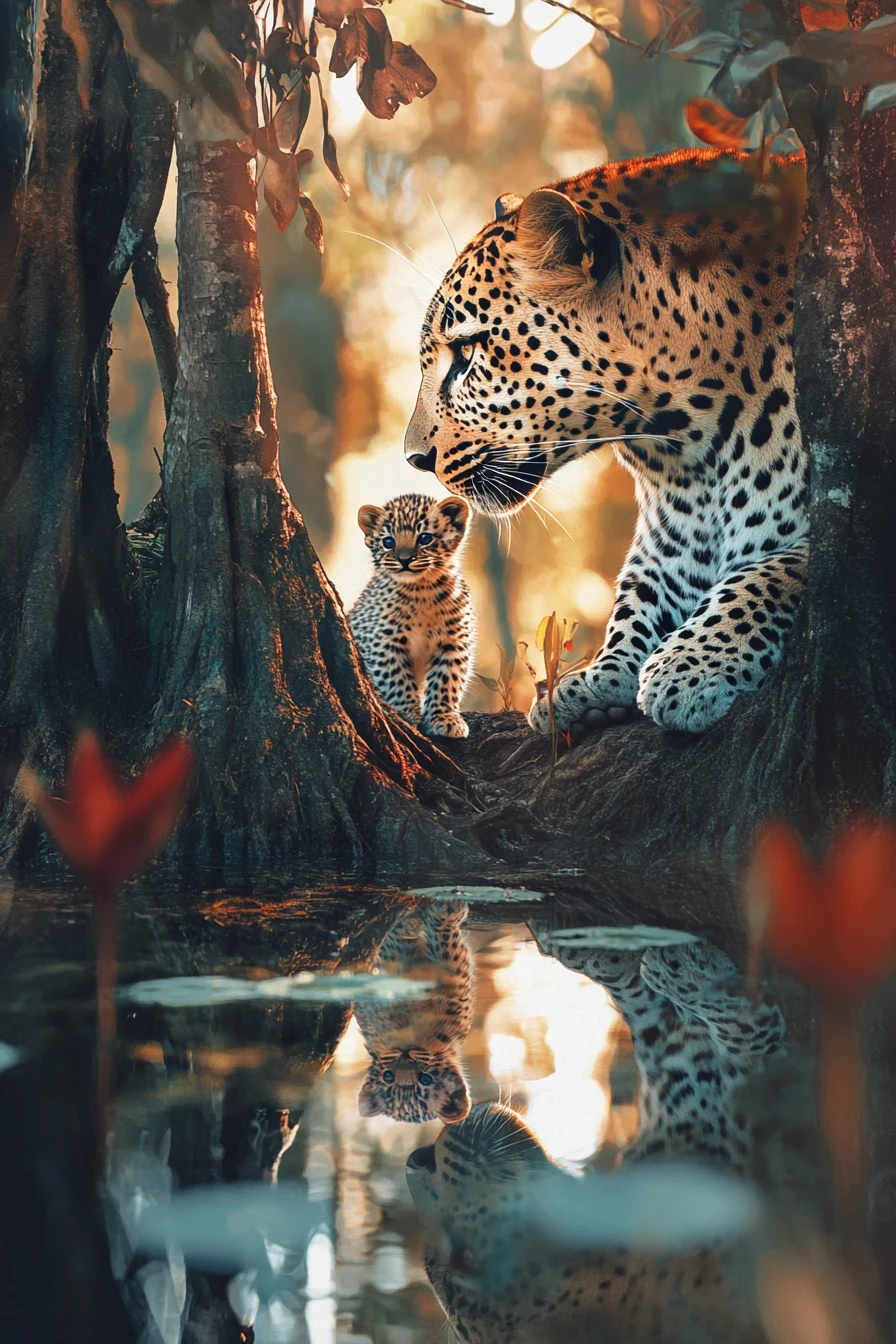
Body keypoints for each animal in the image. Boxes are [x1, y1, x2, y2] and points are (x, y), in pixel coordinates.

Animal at [348, 492, 475, 738]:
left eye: (425, 537)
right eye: (388, 541)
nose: (404, 559)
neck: (422, 589)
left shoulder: (453, 643)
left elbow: (447, 680)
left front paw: (444, 718)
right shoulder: (382, 641)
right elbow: (396, 679)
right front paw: (407, 714)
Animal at [354, 900, 473, 1123]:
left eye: (425, 1080)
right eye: (388, 1077)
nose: (405, 1054)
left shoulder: (457, 989)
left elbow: (445, 945)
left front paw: (447, 911)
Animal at [403, 147, 808, 739]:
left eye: (469, 351)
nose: (415, 458)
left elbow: (770, 574)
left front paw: (691, 668)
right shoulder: (669, 543)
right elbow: (635, 598)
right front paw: (597, 678)